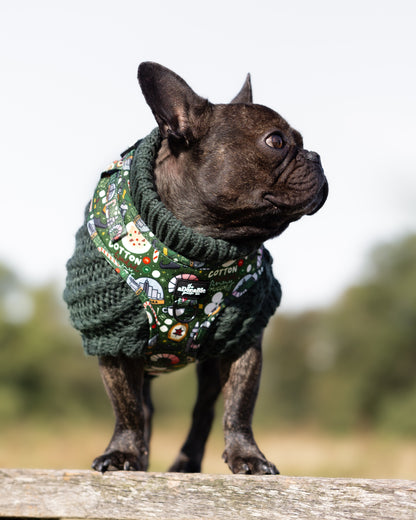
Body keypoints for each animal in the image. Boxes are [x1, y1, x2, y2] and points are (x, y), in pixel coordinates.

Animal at [63, 62, 326, 476]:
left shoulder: (241, 340)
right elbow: (127, 410)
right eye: (276, 141)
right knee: (145, 409)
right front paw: (122, 452)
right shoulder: (114, 340)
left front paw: (248, 456)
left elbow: (239, 408)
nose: (315, 156)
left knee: (203, 412)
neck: (198, 250)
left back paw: (186, 463)